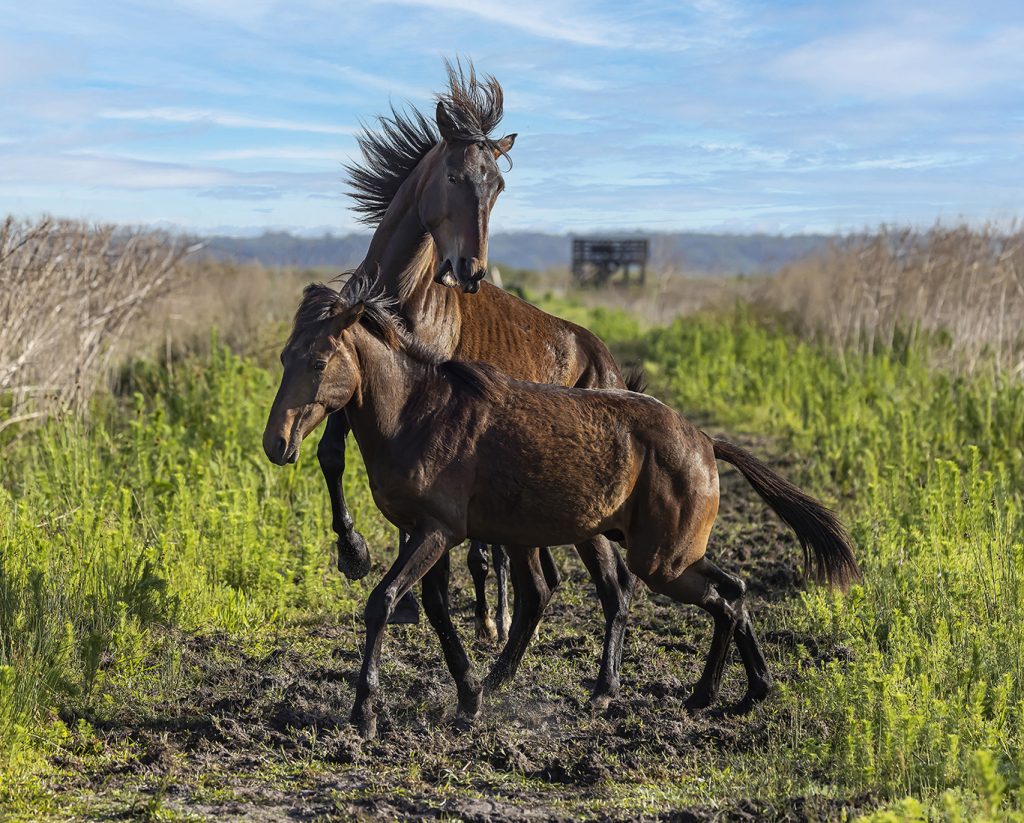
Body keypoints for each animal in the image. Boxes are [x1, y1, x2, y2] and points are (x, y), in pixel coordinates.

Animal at [260, 274, 860, 741]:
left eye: (319, 360)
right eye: (286, 356)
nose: (276, 443)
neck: (418, 412)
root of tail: (705, 442)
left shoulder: (437, 533)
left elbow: (382, 602)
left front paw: (364, 713)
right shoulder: (430, 534)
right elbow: (434, 609)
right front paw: (471, 695)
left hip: (661, 559)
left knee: (706, 595)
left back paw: (668, 693)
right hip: (649, 550)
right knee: (729, 592)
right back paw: (737, 693)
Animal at [299, 59, 630, 700]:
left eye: (497, 186)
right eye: (454, 175)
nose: (470, 271)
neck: (404, 300)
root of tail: (602, 358)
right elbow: (330, 454)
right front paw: (354, 553)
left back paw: (499, 625)